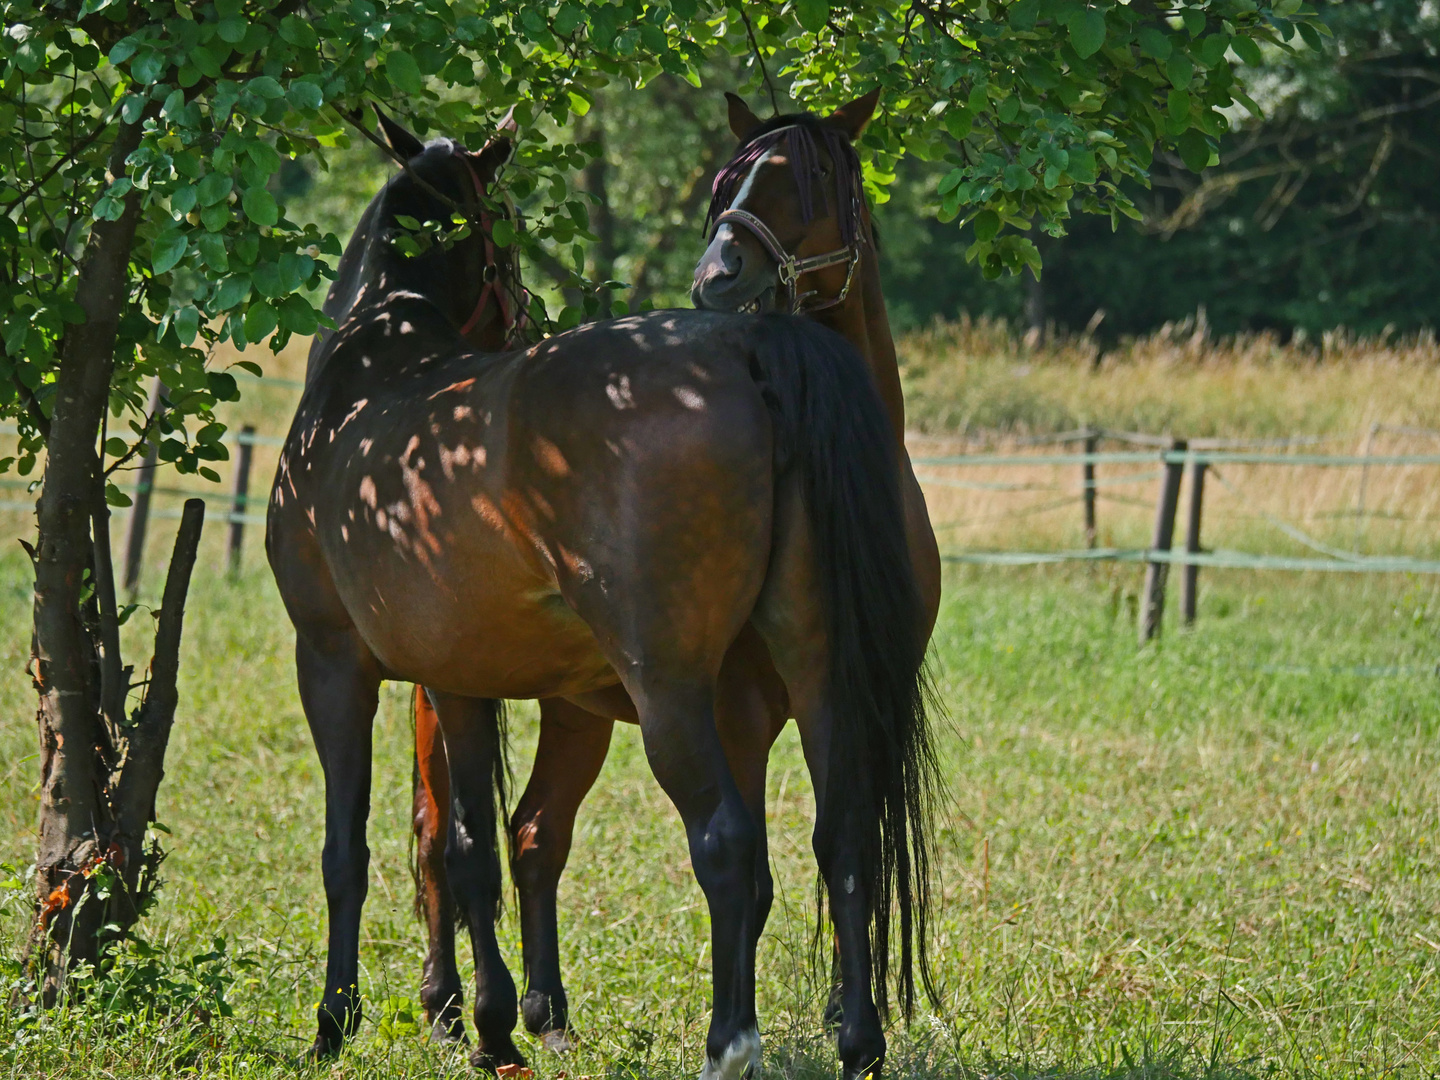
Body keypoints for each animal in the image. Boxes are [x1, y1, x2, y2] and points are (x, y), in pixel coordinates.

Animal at [270, 101, 938, 1080]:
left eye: (814, 182)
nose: (724, 277)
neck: (373, 365)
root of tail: (748, 347)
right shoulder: (459, 678)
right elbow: (466, 850)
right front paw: (492, 1027)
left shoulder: (328, 663)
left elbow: (345, 851)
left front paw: (333, 1022)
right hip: (809, 677)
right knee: (839, 834)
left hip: (666, 691)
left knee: (718, 842)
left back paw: (724, 1043)